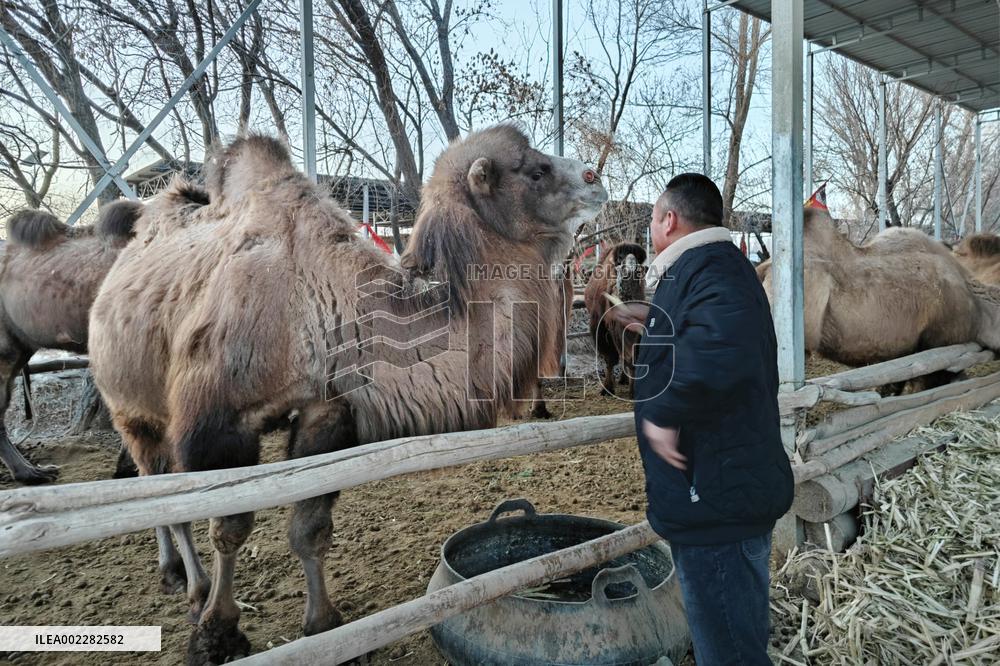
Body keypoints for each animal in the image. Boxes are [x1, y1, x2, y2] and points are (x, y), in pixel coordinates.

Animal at [88, 126, 607, 664]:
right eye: (536, 170)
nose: (596, 178)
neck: (319, 303)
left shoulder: (327, 411)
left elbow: (310, 530)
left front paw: (324, 627)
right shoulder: (217, 424)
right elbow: (227, 528)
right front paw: (217, 634)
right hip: (130, 405)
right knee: (160, 487)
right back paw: (186, 585)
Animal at [584, 242, 647, 397]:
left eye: (640, 272)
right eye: (619, 266)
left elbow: (632, 358)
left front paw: (633, 391)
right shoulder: (602, 330)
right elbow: (610, 359)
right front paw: (607, 389)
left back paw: (624, 379)